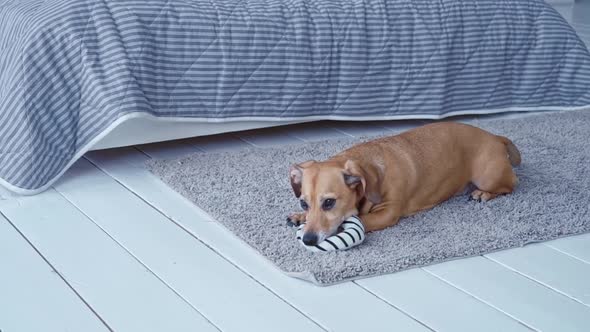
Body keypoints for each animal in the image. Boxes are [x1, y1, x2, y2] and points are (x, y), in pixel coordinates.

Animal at [288, 122, 524, 246]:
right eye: (303, 203)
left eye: (329, 202)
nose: (308, 240)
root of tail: (495, 137)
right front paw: (299, 217)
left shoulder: (388, 213)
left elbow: (358, 219)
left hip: (488, 177)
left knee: (511, 184)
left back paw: (483, 194)